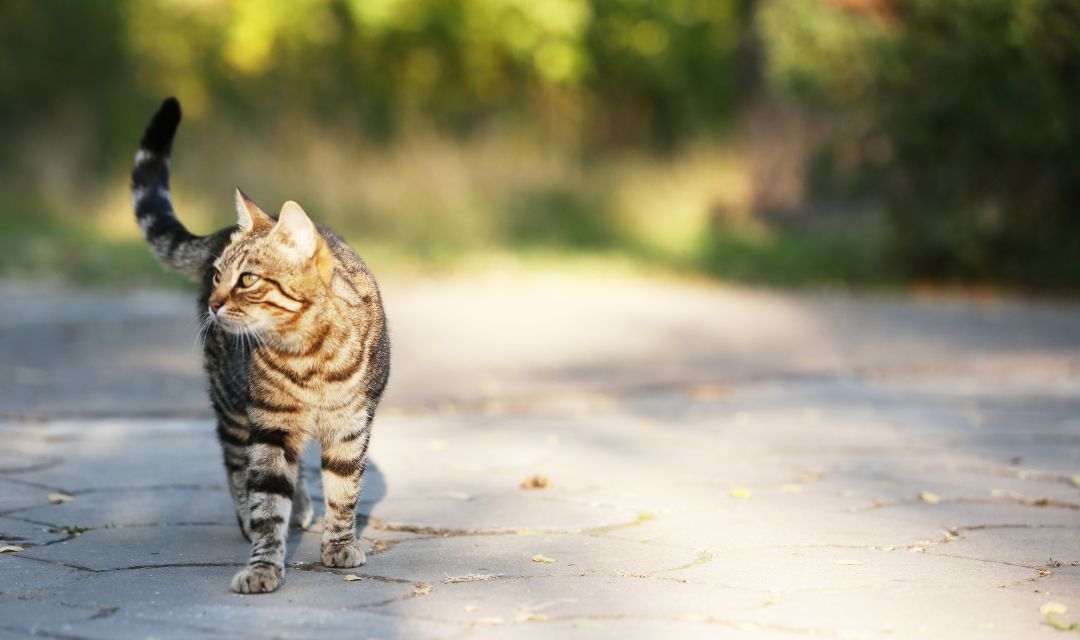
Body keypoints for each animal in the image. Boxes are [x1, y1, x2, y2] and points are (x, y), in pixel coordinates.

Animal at [131, 98, 390, 595]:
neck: (309, 355)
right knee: (236, 463)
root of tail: (218, 229)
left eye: (247, 280)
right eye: (218, 275)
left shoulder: (350, 424)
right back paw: (252, 518)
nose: (213, 303)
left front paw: (339, 544)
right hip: (233, 405)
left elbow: (344, 490)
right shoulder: (268, 423)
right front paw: (264, 564)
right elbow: (268, 497)